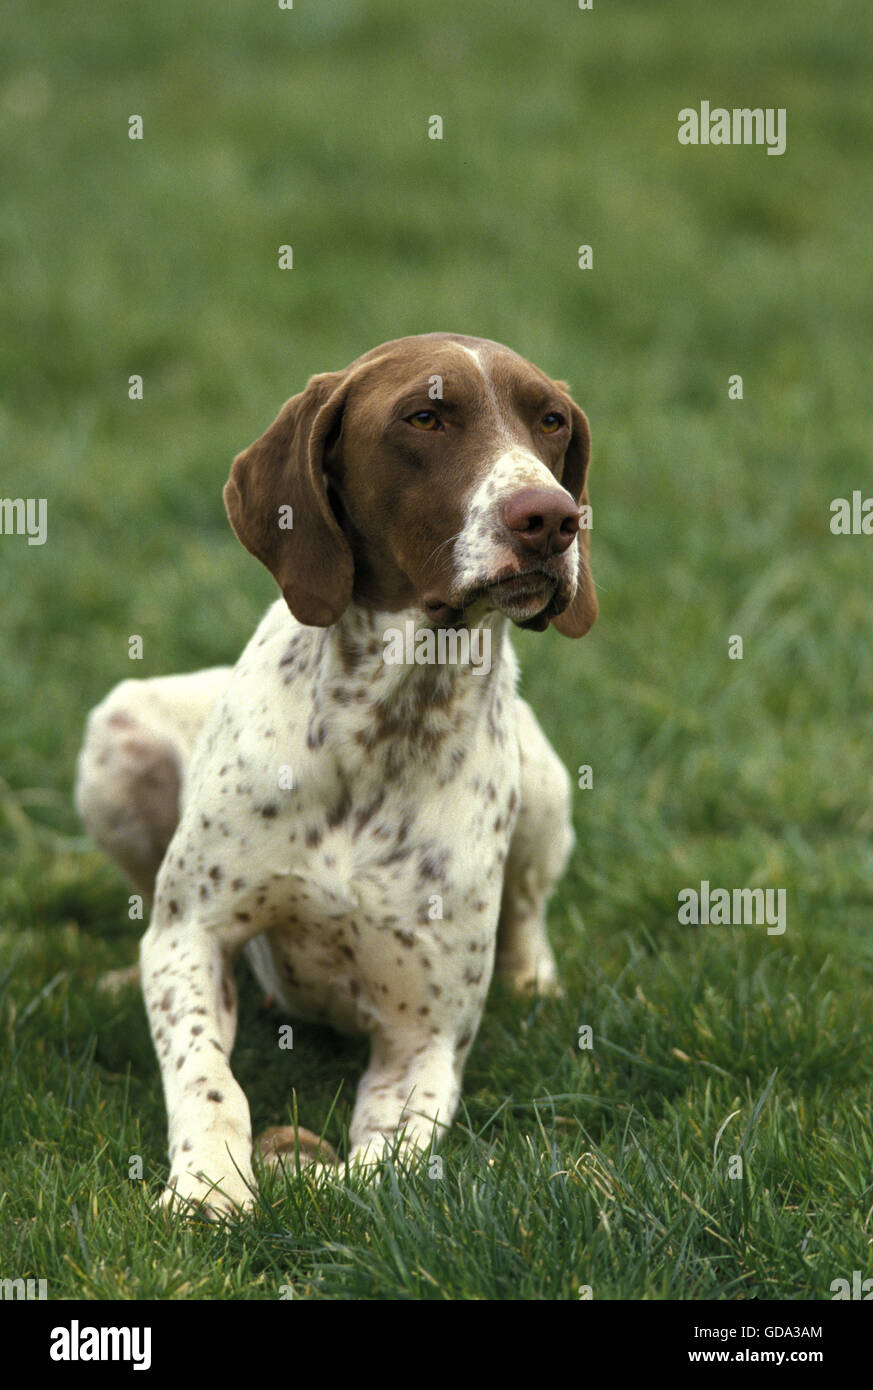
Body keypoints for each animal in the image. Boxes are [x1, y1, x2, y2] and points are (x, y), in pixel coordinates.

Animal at [75, 330, 597, 1212]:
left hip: (545, 788)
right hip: (120, 733)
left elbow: (381, 1166)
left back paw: (534, 984)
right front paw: (208, 1187)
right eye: (424, 417)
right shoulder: (193, 936)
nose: (551, 518)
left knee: (528, 909)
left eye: (551, 421)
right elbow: (207, 1076)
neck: (386, 724)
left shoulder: (423, 1038)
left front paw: (308, 1179)